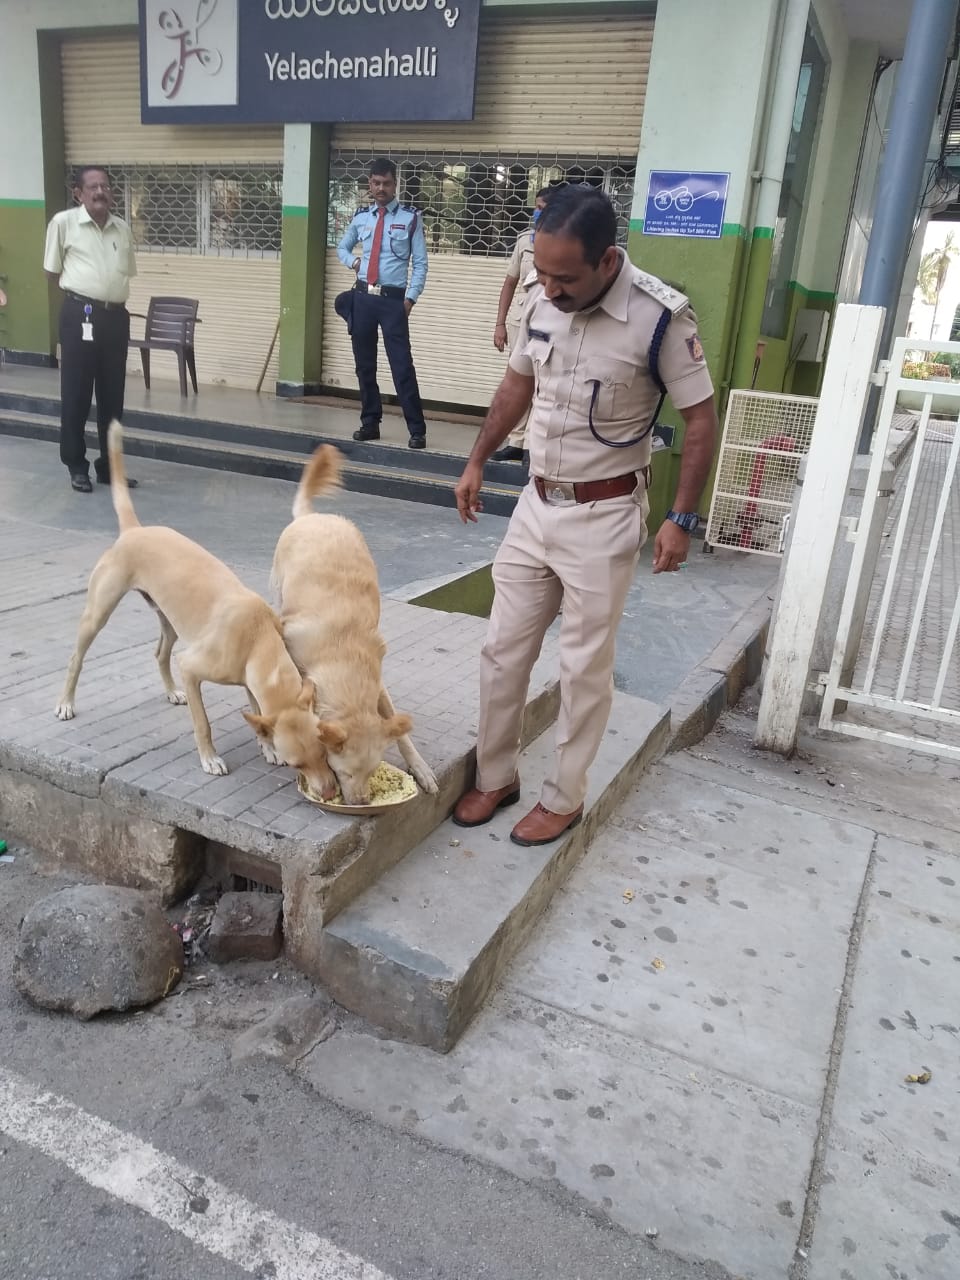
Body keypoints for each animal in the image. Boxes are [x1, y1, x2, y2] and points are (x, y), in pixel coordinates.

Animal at [54, 419, 337, 798]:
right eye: (297, 765)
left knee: (160, 652)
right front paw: (211, 759)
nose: (330, 793)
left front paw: (266, 745)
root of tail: (135, 530)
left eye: (324, 751)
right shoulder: (191, 668)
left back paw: (171, 691)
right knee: (77, 657)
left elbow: (256, 711)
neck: (258, 637)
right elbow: (204, 723)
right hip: (98, 612)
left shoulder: (248, 678)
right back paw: (66, 703)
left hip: (170, 621)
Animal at [272, 450, 442, 803]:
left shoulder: (378, 686)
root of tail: (313, 516)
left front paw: (420, 767)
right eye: (344, 772)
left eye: (372, 771)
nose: (362, 802)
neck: (342, 658)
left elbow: (397, 728)